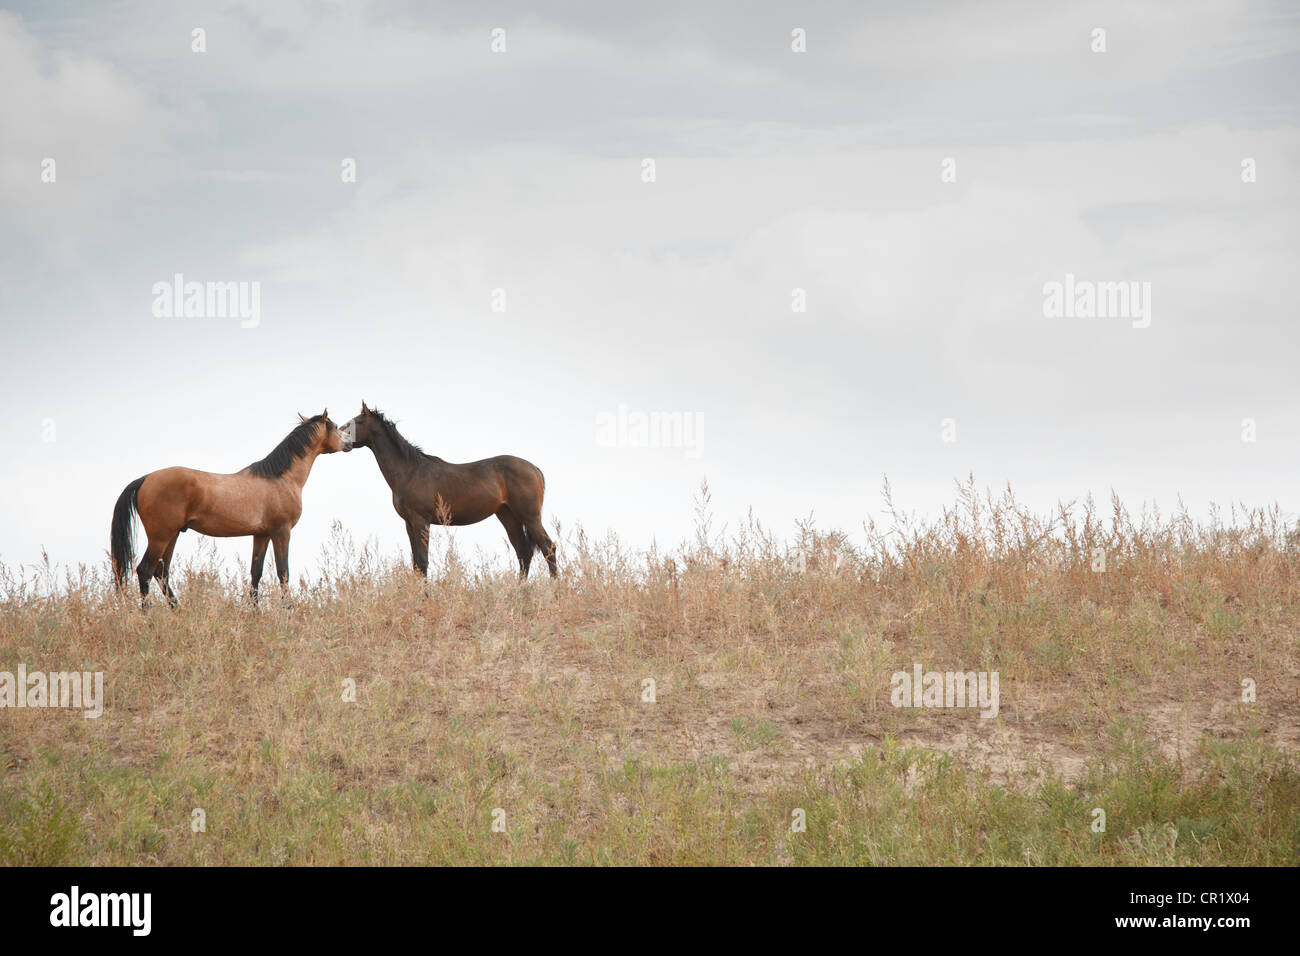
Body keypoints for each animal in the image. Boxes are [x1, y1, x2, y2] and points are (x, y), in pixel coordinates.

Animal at [109, 411, 348, 606]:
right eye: (336, 426)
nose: (348, 442)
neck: (280, 478)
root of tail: (145, 479)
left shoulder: (261, 534)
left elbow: (256, 573)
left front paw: (254, 612)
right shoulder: (281, 531)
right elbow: (283, 573)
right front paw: (288, 610)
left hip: (172, 535)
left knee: (161, 572)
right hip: (160, 536)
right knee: (145, 571)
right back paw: (148, 616)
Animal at [338, 403, 556, 580]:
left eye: (356, 422)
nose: (341, 439)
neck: (411, 471)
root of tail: (534, 468)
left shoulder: (421, 521)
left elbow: (422, 561)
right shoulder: (409, 523)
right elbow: (416, 563)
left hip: (529, 516)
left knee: (548, 548)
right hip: (508, 516)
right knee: (524, 553)